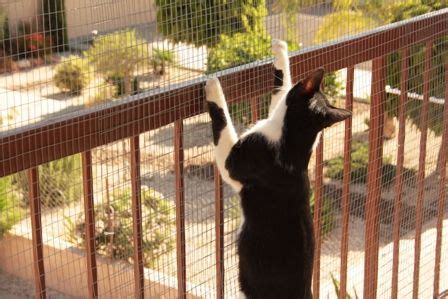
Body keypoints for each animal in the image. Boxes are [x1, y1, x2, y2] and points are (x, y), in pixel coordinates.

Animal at [205, 40, 352, 299]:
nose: (213, 85)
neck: (294, 144)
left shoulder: (235, 161)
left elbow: (222, 123)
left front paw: (214, 86)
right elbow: (280, 89)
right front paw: (281, 49)